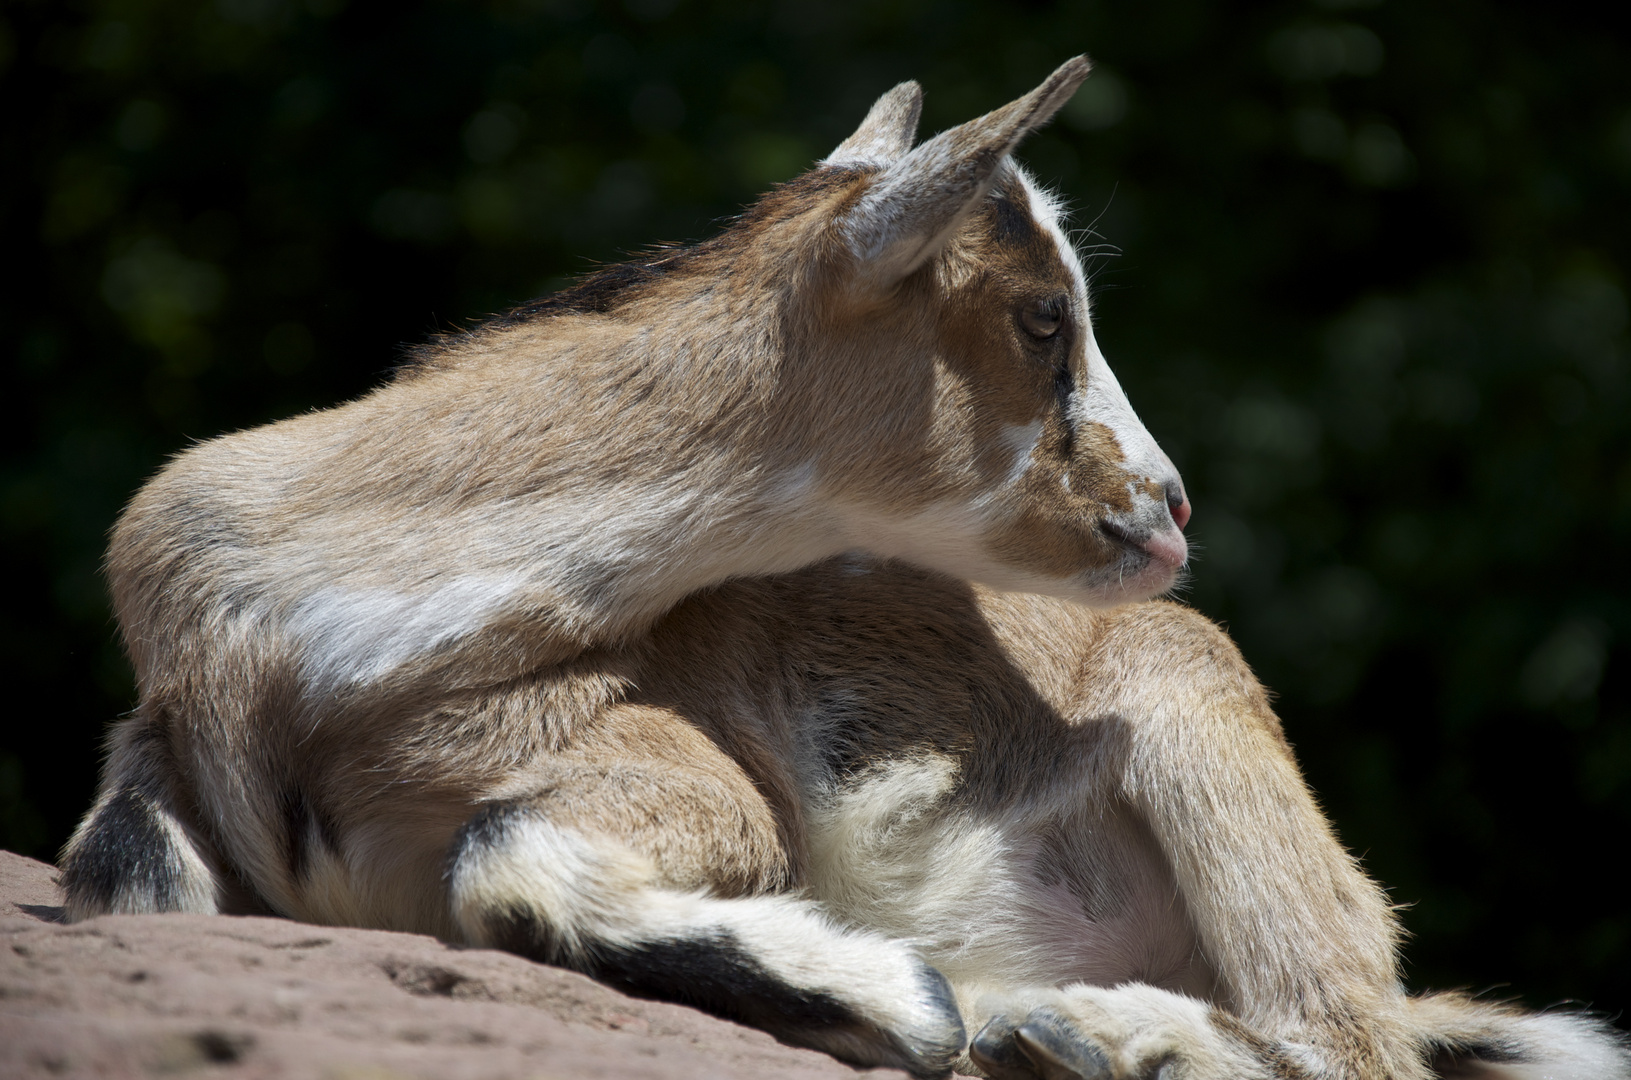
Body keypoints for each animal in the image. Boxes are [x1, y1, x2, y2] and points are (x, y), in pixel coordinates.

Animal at [57, 61, 1624, 1080]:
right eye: (1040, 314)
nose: (1169, 508)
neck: (312, 621)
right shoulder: (153, 771)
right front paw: (925, 998)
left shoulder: (689, 773)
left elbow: (503, 863)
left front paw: (915, 1000)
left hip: (1199, 714)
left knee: (1350, 1041)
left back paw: (1079, 1030)